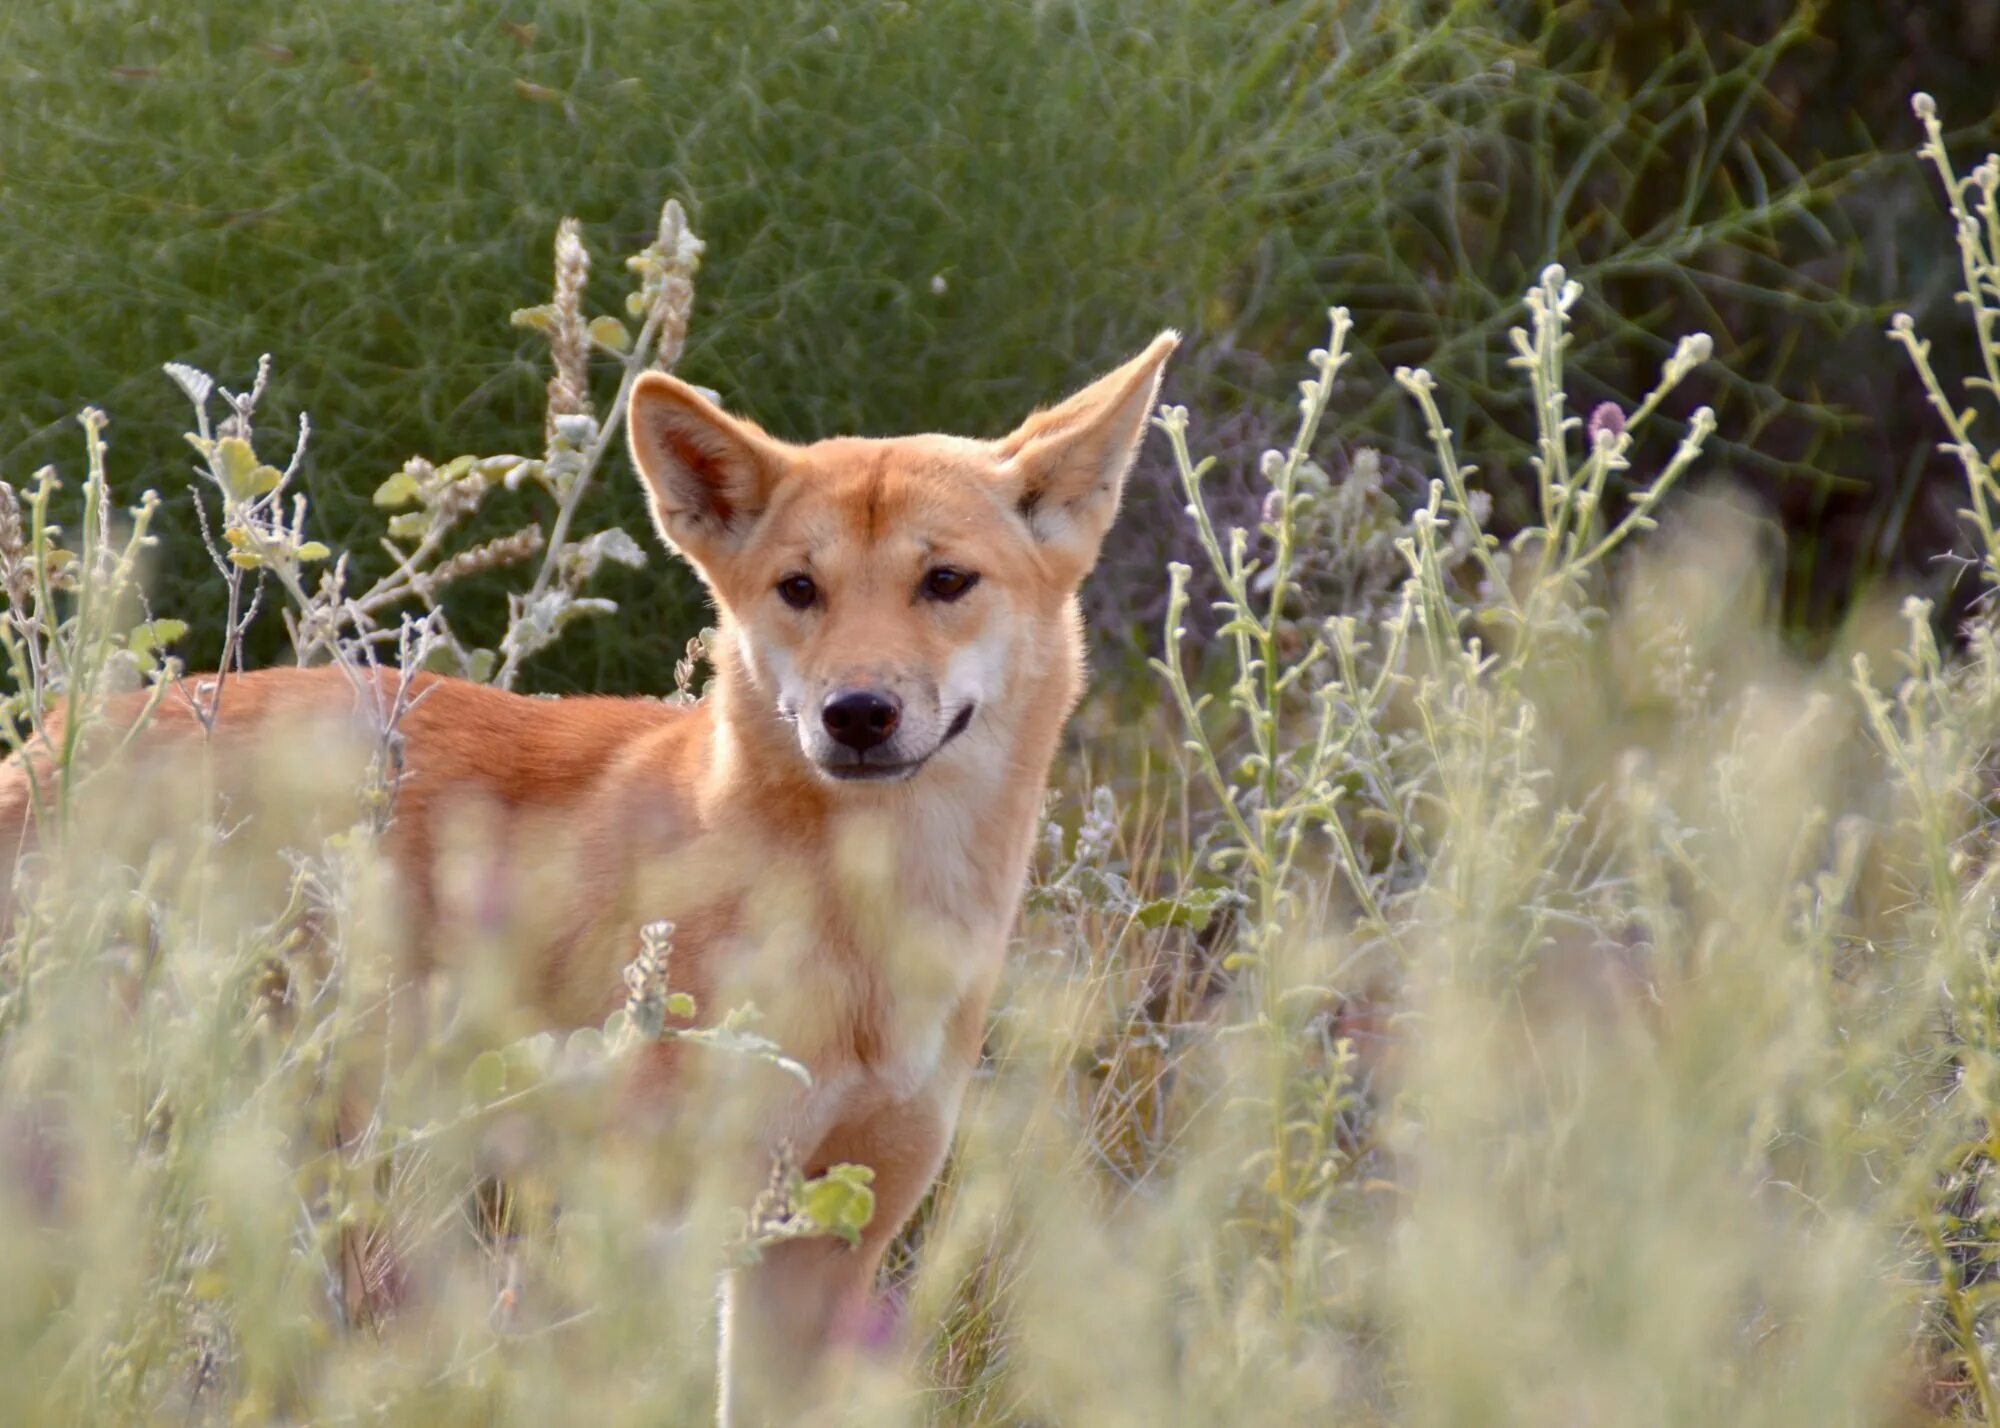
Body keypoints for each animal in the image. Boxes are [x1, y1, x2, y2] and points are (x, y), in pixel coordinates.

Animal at [0, 330, 1168, 1392]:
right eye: (799, 589)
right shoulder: (647, 1226)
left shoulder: (826, 1239)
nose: (857, 713)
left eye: (946, 581)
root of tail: (45, 745)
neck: (861, 932)